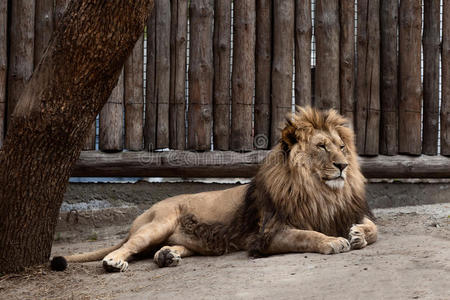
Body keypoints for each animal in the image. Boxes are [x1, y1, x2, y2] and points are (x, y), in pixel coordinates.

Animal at [51, 107, 376, 272]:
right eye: (321, 147)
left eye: (342, 146)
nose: (343, 165)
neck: (321, 191)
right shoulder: (270, 233)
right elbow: (307, 235)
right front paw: (333, 241)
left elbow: (374, 229)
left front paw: (358, 234)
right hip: (157, 224)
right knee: (128, 246)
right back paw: (114, 261)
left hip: (191, 240)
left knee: (162, 249)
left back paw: (167, 256)